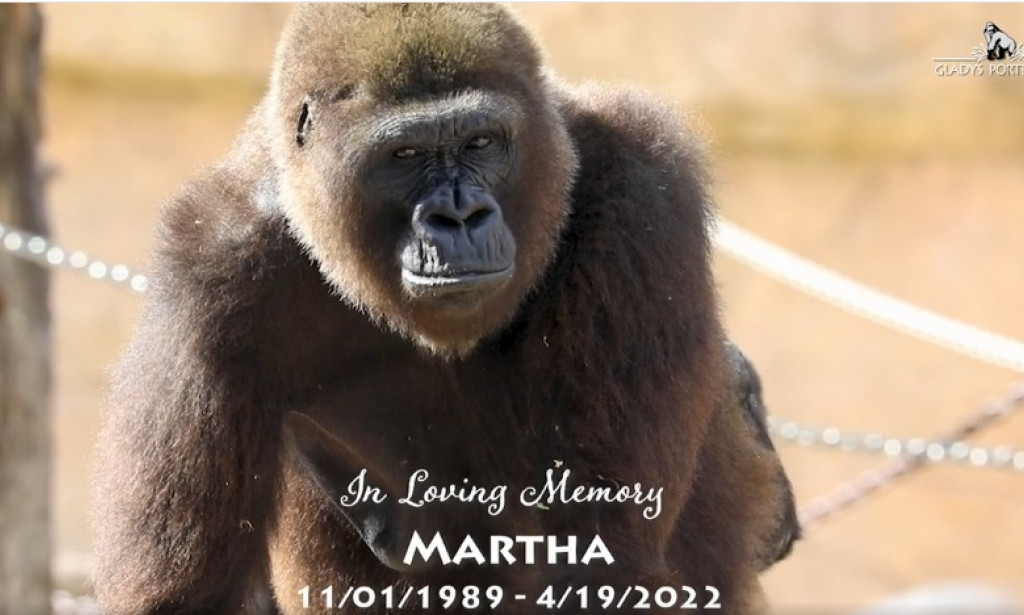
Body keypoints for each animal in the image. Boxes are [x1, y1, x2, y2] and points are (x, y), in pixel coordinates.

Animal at [93, 5, 798, 614]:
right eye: (404, 155)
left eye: (482, 142)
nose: (459, 216)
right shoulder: (209, 264)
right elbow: (187, 596)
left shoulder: (642, 182)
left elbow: (605, 555)